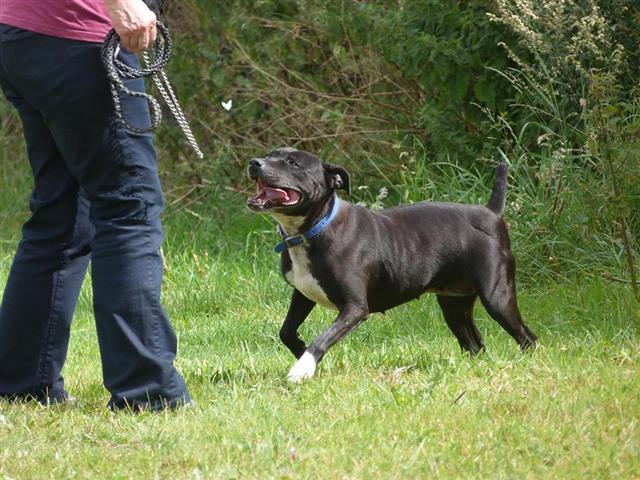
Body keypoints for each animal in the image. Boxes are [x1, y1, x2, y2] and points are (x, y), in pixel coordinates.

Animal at [248, 148, 536, 380]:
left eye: (293, 163)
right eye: (269, 154)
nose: (254, 162)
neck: (316, 228)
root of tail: (492, 212)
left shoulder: (354, 308)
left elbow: (322, 338)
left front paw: (303, 367)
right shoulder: (303, 294)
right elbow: (286, 331)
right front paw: (303, 354)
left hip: (497, 297)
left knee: (527, 337)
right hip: (454, 304)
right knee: (475, 344)